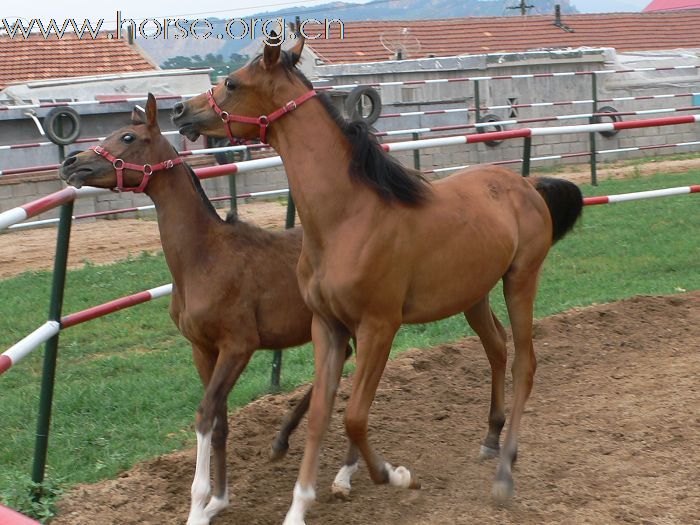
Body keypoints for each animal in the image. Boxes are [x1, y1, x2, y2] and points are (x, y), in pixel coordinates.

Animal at [59, 95, 348, 524]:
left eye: (127, 136)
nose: (71, 163)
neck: (204, 258)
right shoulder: (202, 349)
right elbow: (221, 422)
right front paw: (219, 501)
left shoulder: (238, 346)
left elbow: (205, 414)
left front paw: (198, 506)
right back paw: (283, 441)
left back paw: (341, 472)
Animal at [175, 37, 584, 524]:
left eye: (234, 82)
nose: (180, 110)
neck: (347, 218)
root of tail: (527, 185)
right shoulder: (328, 327)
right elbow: (321, 412)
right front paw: (299, 506)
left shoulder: (378, 326)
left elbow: (354, 416)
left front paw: (395, 475)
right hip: (474, 296)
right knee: (497, 349)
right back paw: (490, 440)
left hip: (520, 280)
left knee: (525, 362)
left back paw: (505, 470)